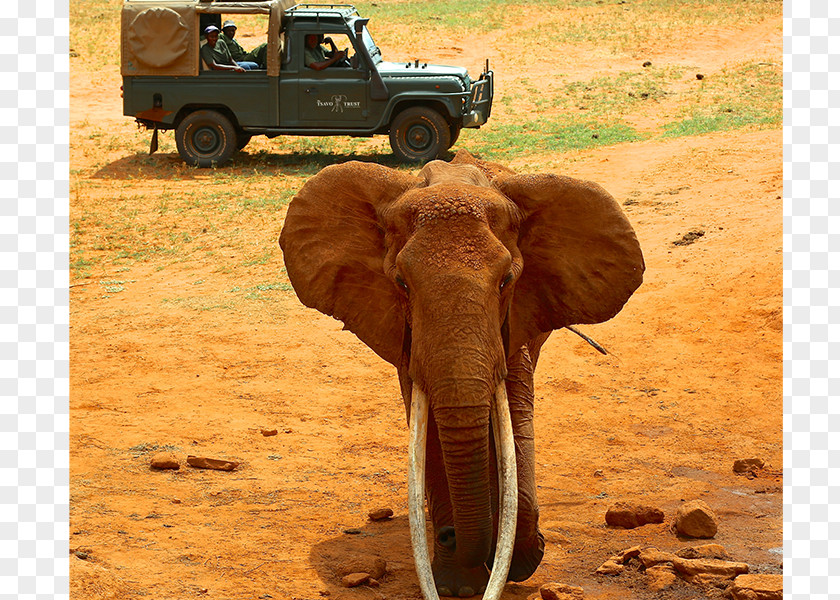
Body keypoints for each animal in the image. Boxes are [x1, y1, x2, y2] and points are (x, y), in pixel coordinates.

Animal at [280, 150, 644, 600]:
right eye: (401, 283)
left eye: (506, 280)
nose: (449, 536)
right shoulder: (407, 337)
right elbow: (432, 431)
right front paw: (456, 584)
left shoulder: (516, 320)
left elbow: (515, 412)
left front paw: (520, 557)